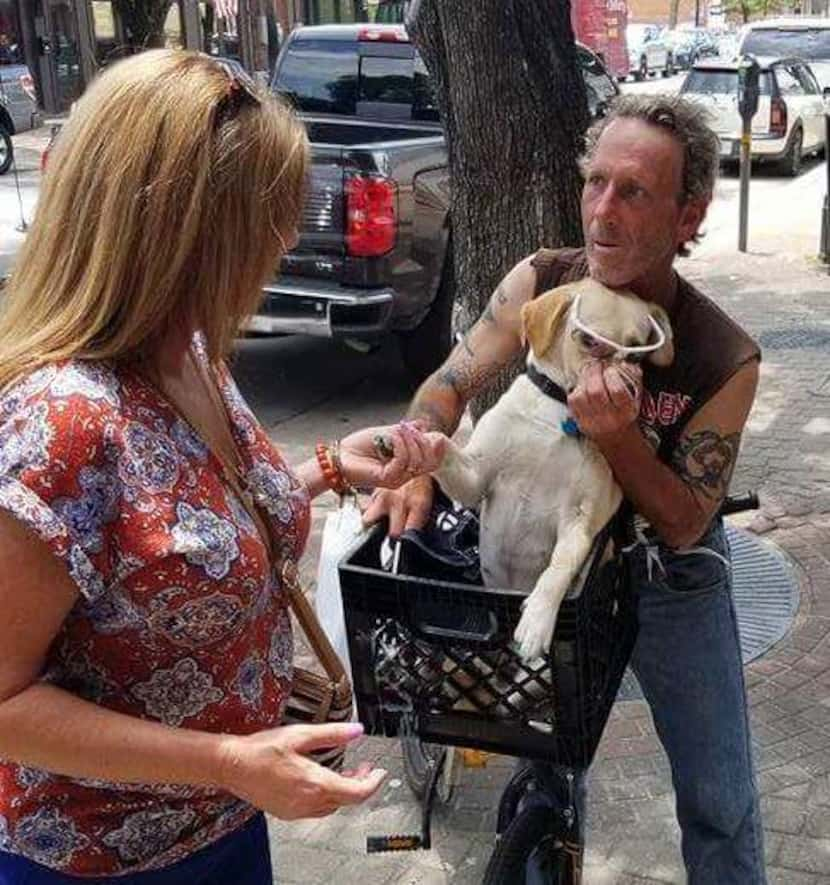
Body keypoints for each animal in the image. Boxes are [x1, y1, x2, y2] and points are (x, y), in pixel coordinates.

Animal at [436, 280, 676, 660]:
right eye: (589, 341)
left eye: (637, 356)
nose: (625, 388)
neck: (559, 413)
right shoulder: (474, 480)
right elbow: (447, 456)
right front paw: (413, 443)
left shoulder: (579, 522)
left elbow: (558, 568)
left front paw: (537, 619)